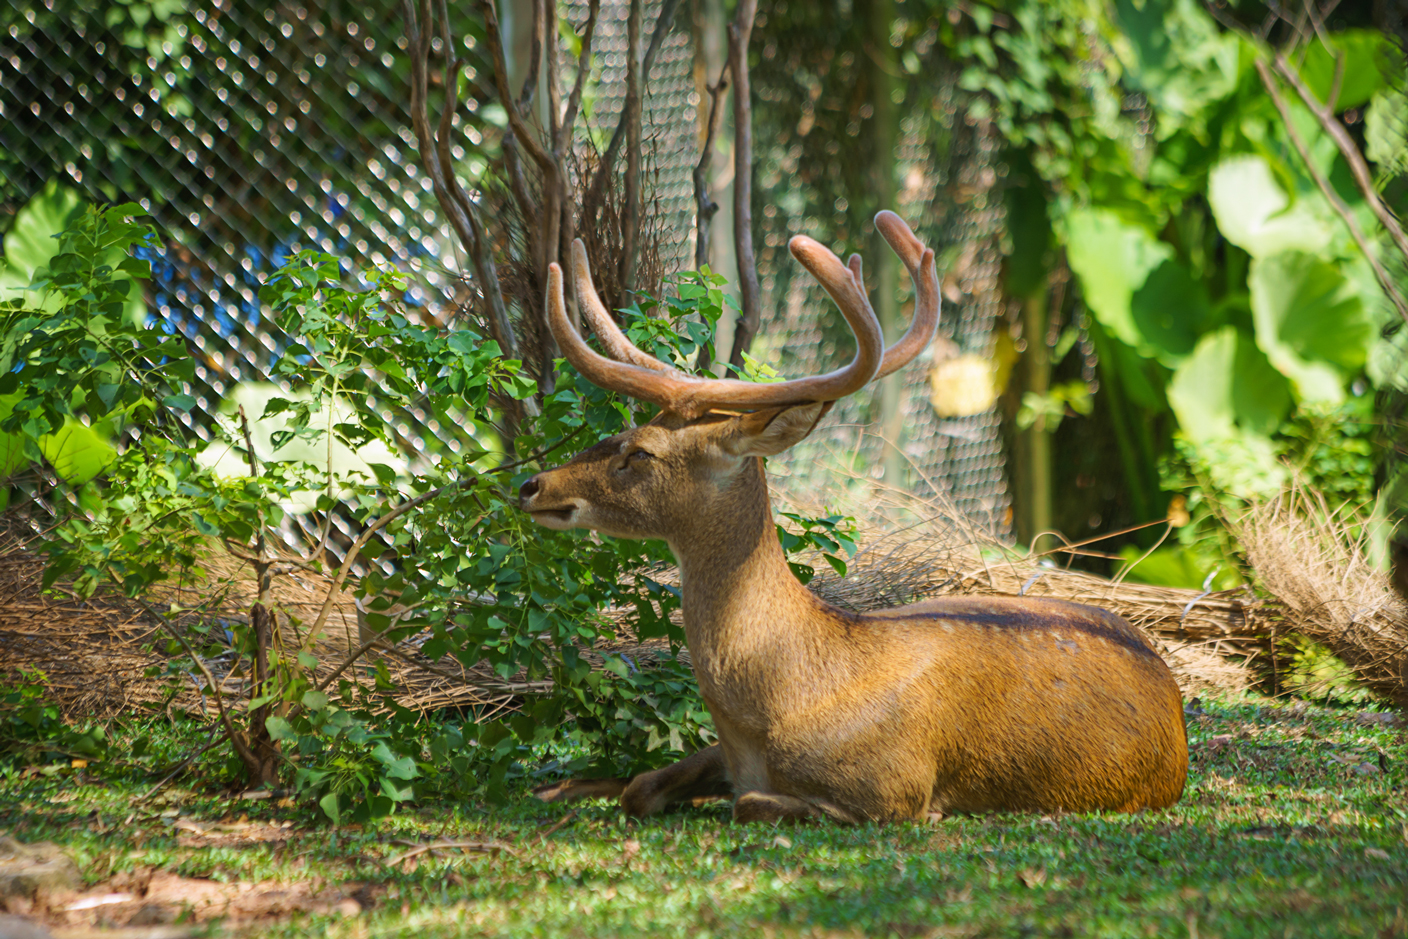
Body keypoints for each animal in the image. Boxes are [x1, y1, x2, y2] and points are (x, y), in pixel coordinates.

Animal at [518, 211, 1188, 824]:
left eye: (640, 453)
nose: (531, 485)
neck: (781, 698)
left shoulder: (891, 791)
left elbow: (748, 804)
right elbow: (641, 785)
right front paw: (563, 790)